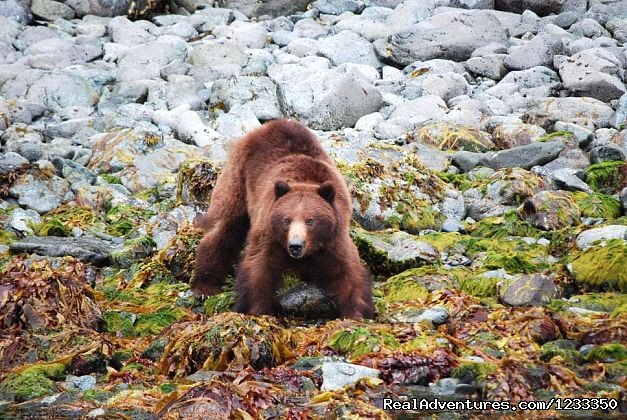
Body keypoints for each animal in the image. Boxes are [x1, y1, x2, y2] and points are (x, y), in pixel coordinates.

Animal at [193, 118, 372, 318]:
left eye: (310, 220)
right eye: (287, 220)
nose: (295, 245)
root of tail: (271, 124)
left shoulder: (333, 237)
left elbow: (347, 272)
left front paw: (357, 312)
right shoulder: (270, 232)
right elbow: (259, 268)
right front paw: (256, 310)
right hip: (239, 178)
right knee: (225, 226)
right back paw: (205, 286)